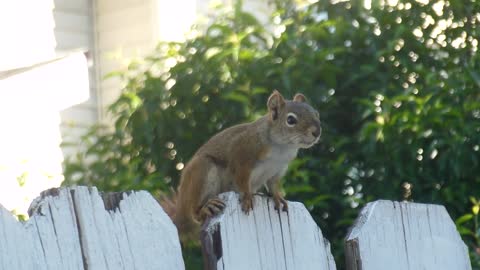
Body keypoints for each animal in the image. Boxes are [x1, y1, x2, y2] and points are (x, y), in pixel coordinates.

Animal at [167, 90, 320, 240]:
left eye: (316, 114)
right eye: (290, 120)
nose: (317, 132)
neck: (282, 148)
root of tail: (180, 212)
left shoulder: (277, 170)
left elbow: (273, 185)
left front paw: (278, 197)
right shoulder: (242, 155)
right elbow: (241, 179)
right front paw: (247, 197)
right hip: (201, 171)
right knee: (194, 212)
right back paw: (204, 208)